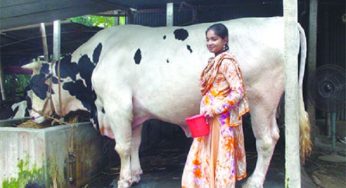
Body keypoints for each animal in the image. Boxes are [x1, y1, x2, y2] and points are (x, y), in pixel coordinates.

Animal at [24, 16, 310, 187]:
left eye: (35, 86)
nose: (32, 115)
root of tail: (279, 19)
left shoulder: (117, 106)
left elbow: (122, 146)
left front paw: (123, 179)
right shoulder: (133, 110)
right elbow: (135, 143)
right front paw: (136, 174)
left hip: (262, 99)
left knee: (267, 140)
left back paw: (254, 180)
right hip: (270, 104)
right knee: (274, 134)